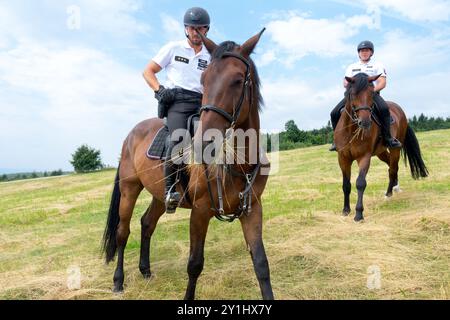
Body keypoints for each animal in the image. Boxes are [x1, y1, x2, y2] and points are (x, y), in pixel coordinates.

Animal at [101, 29, 274, 300]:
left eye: (237, 80)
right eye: (204, 79)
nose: (203, 141)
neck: (239, 164)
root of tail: (130, 135)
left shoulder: (252, 209)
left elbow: (261, 264)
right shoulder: (200, 211)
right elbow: (194, 264)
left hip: (160, 195)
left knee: (147, 223)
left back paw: (145, 270)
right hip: (130, 189)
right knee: (122, 232)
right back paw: (118, 281)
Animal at [336, 73, 428, 222]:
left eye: (372, 93)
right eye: (352, 94)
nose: (365, 122)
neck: (351, 130)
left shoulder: (364, 157)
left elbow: (360, 183)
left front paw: (359, 214)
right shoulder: (343, 158)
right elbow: (346, 184)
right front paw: (345, 210)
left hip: (395, 148)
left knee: (393, 168)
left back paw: (390, 193)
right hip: (381, 152)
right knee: (391, 166)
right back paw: (395, 187)